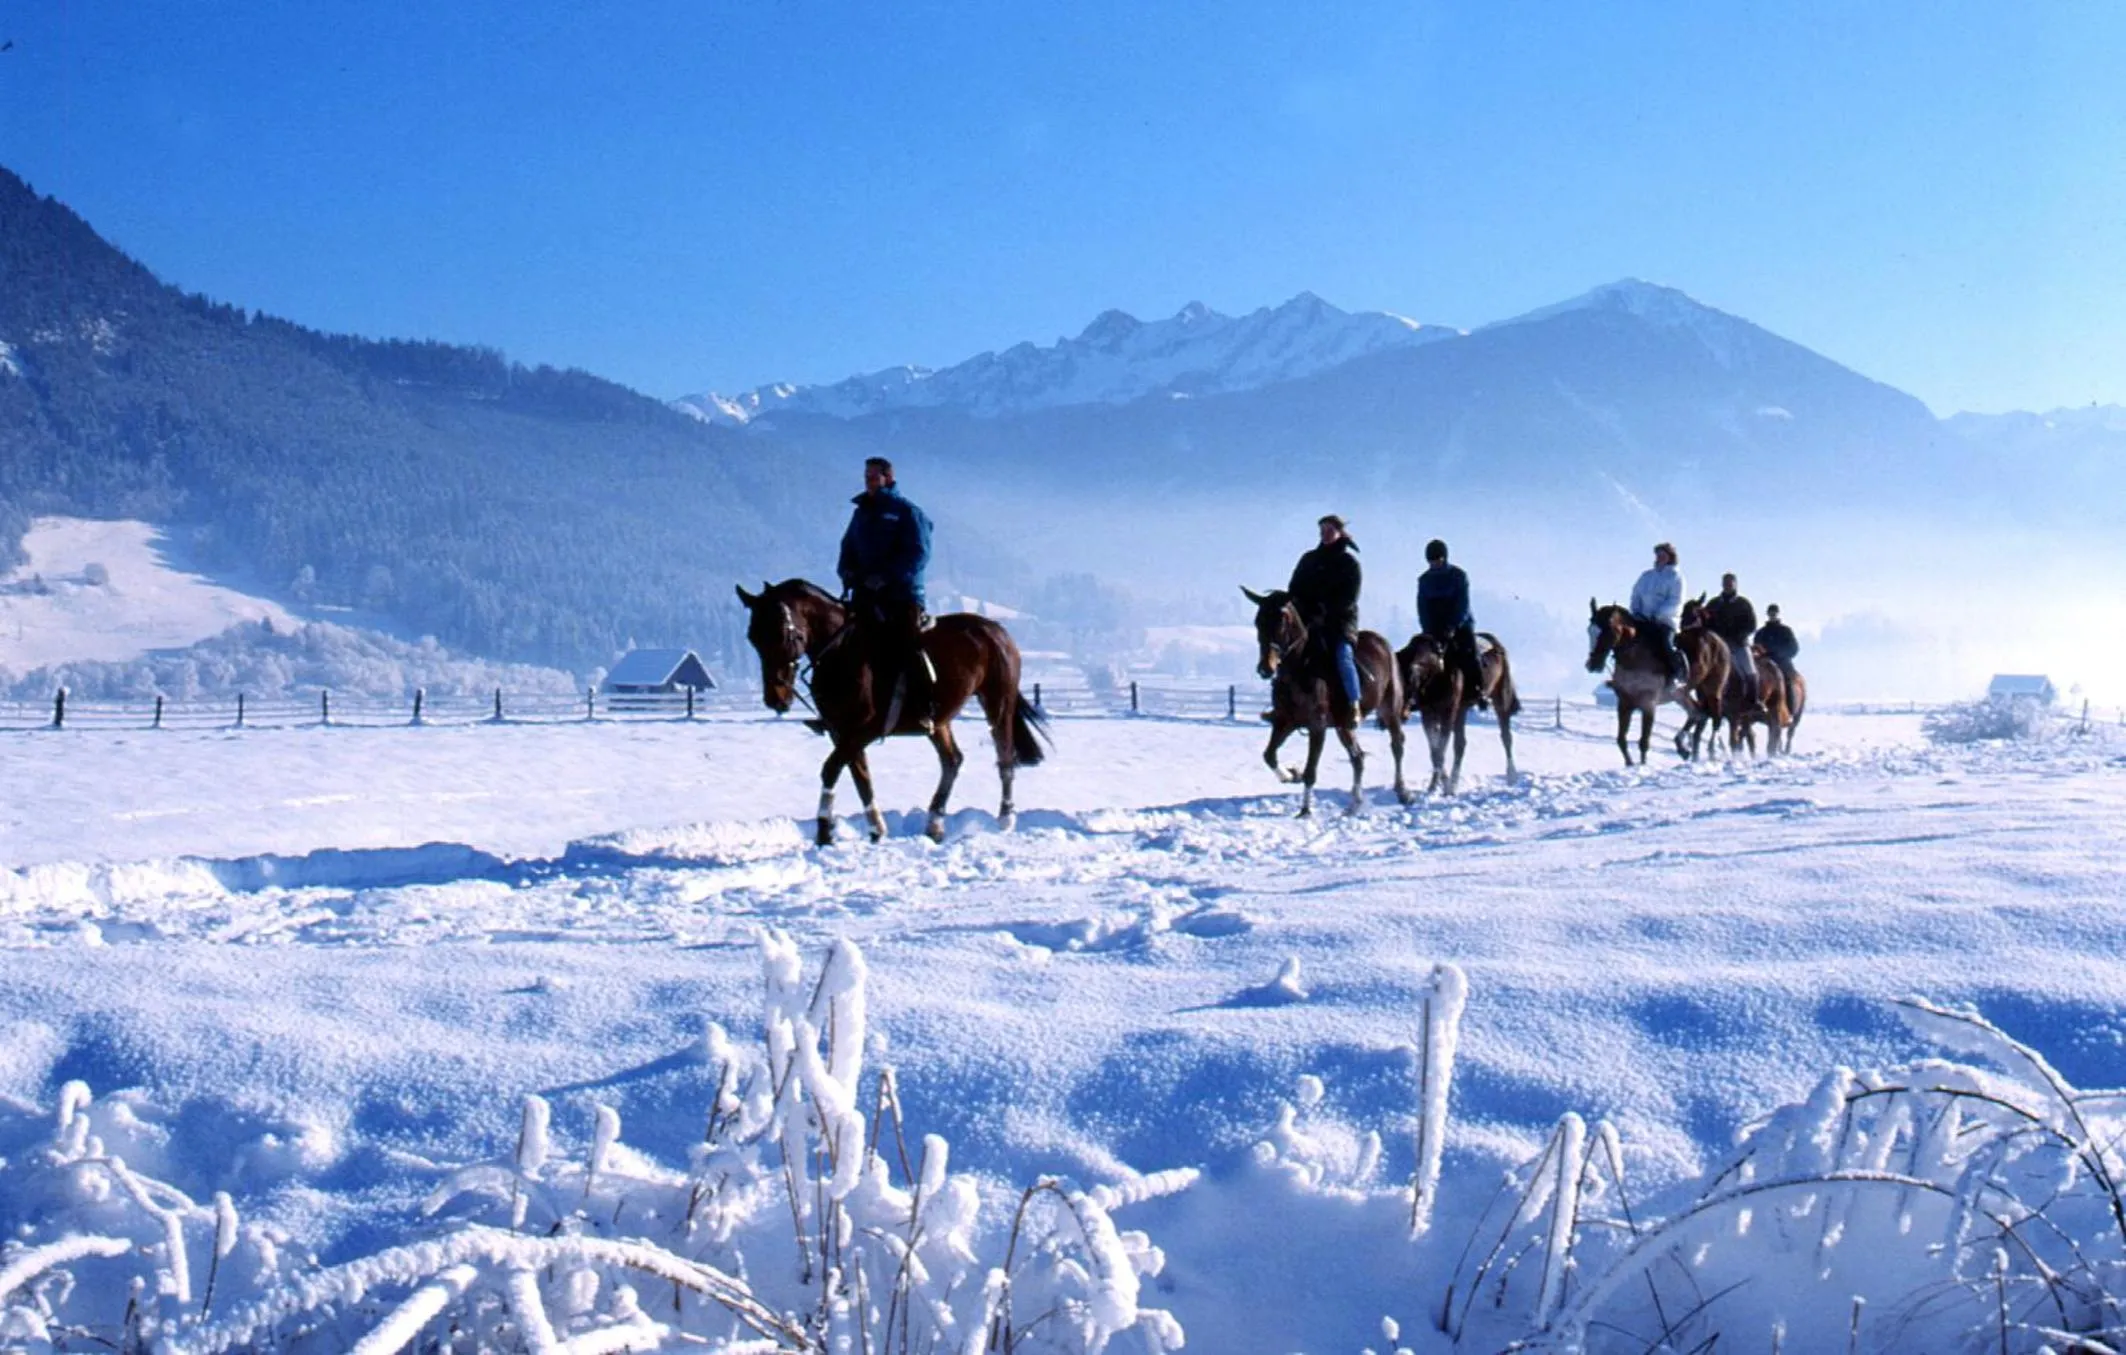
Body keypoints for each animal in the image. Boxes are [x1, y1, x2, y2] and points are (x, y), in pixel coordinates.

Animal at [735, 579, 1049, 845]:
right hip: (940, 721)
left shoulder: (865, 729)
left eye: (782, 634)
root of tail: (997, 630)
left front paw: (825, 830)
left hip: (997, 702)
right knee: (952, 761)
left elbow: (831, 769)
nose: (775, 699)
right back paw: (934, 824)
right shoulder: (842, 733)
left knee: (1004, 755)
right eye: (752, 637)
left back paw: (1005, 818)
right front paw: (876, 829)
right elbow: (861, 777)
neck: (842, 653)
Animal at [1243, 587, 1408, 815]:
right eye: (1258, 621)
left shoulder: (1317, 727)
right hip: (1344, 726)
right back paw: (1354, 804)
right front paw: (1291, 775)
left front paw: (1305, 810)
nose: (1265, 669)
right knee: (1357, 758)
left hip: (1389, 709)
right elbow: (1269, 755)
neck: (1299, 671)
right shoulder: (1285, 722)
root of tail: (1382, 643)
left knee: (1397, 745)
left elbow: (1311, 771)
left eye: (1282, 621)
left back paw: (1402, 792)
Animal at [1395, 631, 1521, 794]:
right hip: (1462, 710)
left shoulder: (1448, 714)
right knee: (1460, 745)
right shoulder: (1428, 716)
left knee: (1506, 737)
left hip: (1500, 699)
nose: (1403, 713)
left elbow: (1440, 751)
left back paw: (1511, 775)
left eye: (1427, 659)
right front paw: (1436, 785)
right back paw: (1454, 782)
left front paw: (1442, 786)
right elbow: (1435, 751)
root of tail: (1496, 644)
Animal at [1586, 600, 1730, 765]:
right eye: (1589, 631)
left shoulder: (1648, 704)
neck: (1634, 657)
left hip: (1712, 689)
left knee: (1715, 718)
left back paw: (1711, 750)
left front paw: (1642, 766)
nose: (1593, 664)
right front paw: (1630, 765)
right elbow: (1621, 740)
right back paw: (1684, 748)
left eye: (1608, 631)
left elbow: (1643, 742)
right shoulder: (1624, 704)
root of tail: (1717, 639)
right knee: (1698, 713)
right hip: (1681, 693)